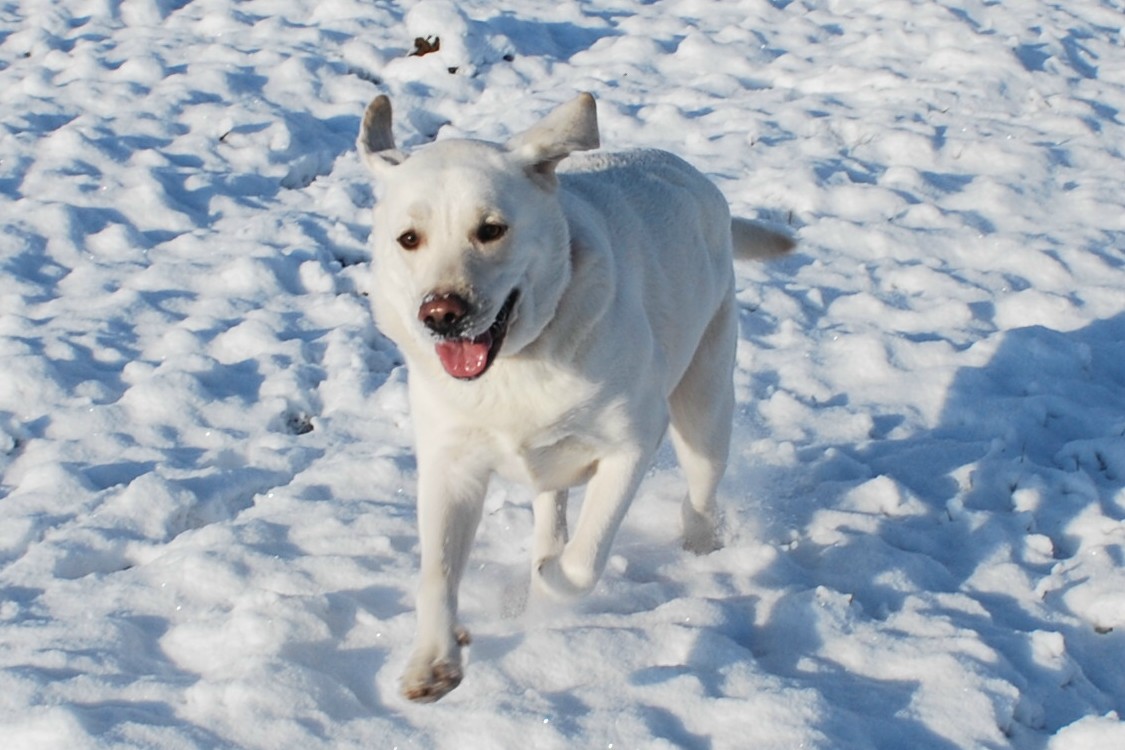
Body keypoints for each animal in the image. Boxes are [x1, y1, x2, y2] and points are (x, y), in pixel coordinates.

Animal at [357, 93, 792, 706]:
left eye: (491, 229)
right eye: (409, 238)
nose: (441, 313)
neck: (519, 361)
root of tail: (695, 178)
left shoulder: (633, 443)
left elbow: (585, 560)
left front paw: (550, 579)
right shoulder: (451, 463)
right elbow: (436, 572)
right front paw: (434, 661)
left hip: (705, 408)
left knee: (700, 494)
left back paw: (699, 545)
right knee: (551, 509)